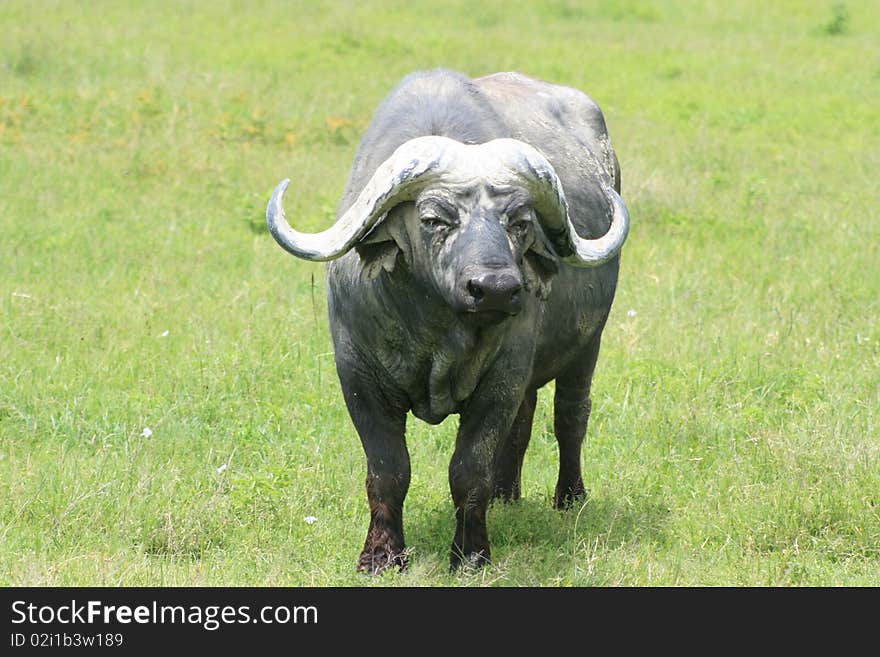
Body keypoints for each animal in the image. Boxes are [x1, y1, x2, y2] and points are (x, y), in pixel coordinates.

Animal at [264, 69, 628, 572]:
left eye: (520, 221)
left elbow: (470, 469)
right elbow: (388, 469)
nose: (495, 288)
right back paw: (507, 496)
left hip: (588, 343)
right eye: (435, 218)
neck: (436, 334)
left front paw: (471, 553)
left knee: (570, 417)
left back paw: (569, 497)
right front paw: (381, 554)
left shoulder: (502, 377)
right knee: (524, 422)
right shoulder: (358, 378)